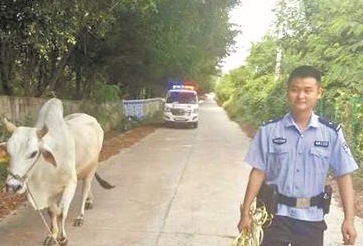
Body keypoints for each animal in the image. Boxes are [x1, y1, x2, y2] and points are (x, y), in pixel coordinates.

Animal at [0, 98, 114, 246]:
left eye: (34, 153)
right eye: (8, 152)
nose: (13, 186)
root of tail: (91, 119)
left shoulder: (70, 183)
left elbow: (61, 213)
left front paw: (62, 238)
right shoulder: (50, 191)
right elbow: (52, 212)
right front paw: (52, 235)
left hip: (92, 167)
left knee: (85, 189)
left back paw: (80, 216)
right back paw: (90, 201)